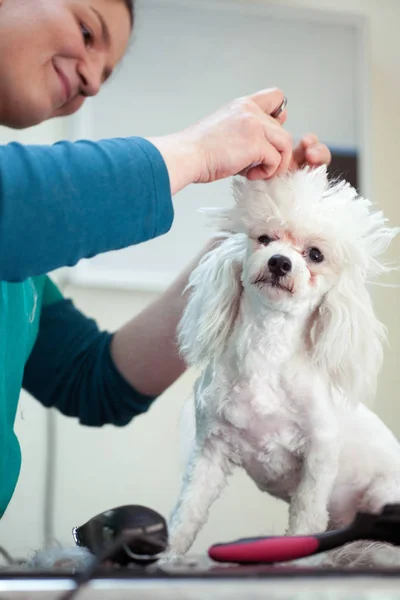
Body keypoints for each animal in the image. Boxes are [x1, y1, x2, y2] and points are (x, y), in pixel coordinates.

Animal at [167, 164, 398, 556]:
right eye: (264, 239)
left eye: (315, 255)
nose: (279, 261)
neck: (267, 347)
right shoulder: (210, 449)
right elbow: (188, 511)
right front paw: (167, 554)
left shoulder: (319, 457)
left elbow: (305, 518)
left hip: (382, 493)